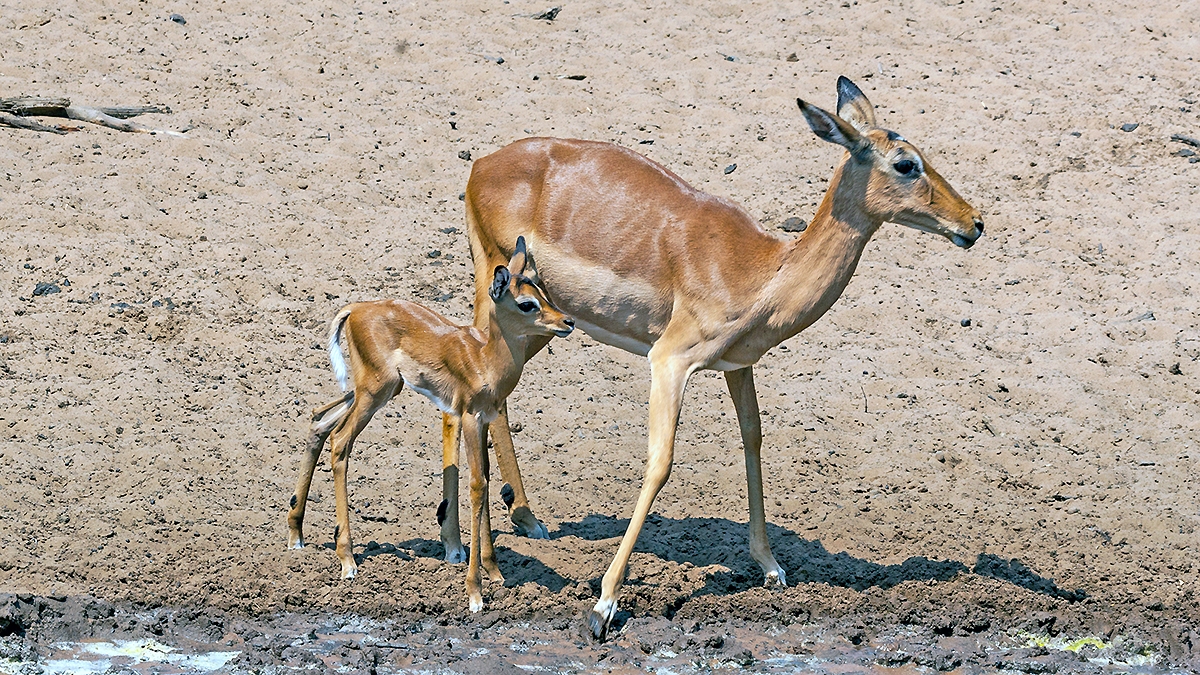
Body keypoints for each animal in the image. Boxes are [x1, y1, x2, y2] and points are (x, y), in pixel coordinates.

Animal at [286, 237, 575, 611]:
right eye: (527, 303)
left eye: (541, 291)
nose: (568, 321)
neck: (485, 359)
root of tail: (357, 308)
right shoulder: (469, 417)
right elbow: (477, 486)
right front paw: (474, 593)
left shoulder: (485, 420)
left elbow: (486, 479)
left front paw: (494, 572)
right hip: (374, 393)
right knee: (339, 441)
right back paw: (347, 560)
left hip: (375, 390)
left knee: (319, 420)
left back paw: (296, 535)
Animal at [450, 77, 984, 638]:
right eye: (905, 163)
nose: (974, 224)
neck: (761, 268)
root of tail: (482, 163)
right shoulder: (669, 360)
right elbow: (660, 461)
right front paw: (604, 605)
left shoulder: (739, 366)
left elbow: (753, 438)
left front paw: (771, 566)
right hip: (509, 301)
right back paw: (492, 563)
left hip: (544, 320)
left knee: (494, 398)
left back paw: (523, 523)